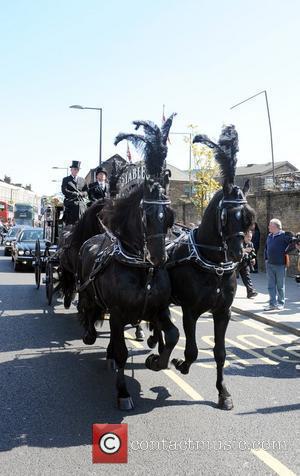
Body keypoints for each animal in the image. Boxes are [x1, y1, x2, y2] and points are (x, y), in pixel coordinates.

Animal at [78, 116, 180, 410]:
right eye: (146, 213)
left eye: (169, 214)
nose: (159, 257)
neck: (142, 270)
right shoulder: (118, 312)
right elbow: (123, 352)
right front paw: (123, 393)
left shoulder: (159, 309)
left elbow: (173, 335)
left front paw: (156, 360)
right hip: (88, 291)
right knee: (86, 308)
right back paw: (90, 334)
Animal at [154, 125, 254, 410]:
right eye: (227, 215)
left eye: (248, 217)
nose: (241, 254)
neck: (214, 266)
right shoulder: (190, 310)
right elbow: (192, 350)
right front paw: (180, 363)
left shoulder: (223, 312)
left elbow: (220, 353)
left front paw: (223, 392)